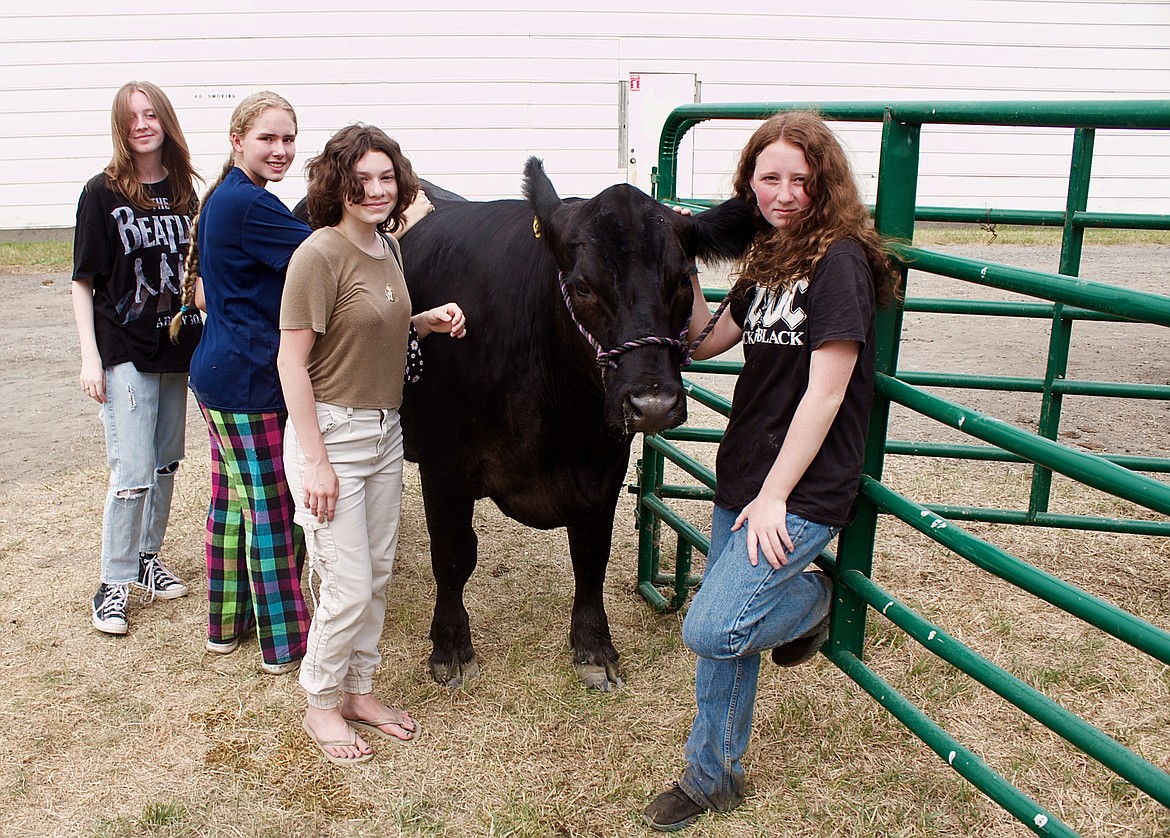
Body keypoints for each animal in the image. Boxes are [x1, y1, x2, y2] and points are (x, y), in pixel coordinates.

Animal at [397, 160, 753, 692]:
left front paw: (593, 645)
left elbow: (590, 556)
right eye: (583, 286)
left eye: (683, 281)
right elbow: (454, 554)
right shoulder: (443, 466)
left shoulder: (604, 468)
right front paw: (451, 647)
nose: (652, 403)